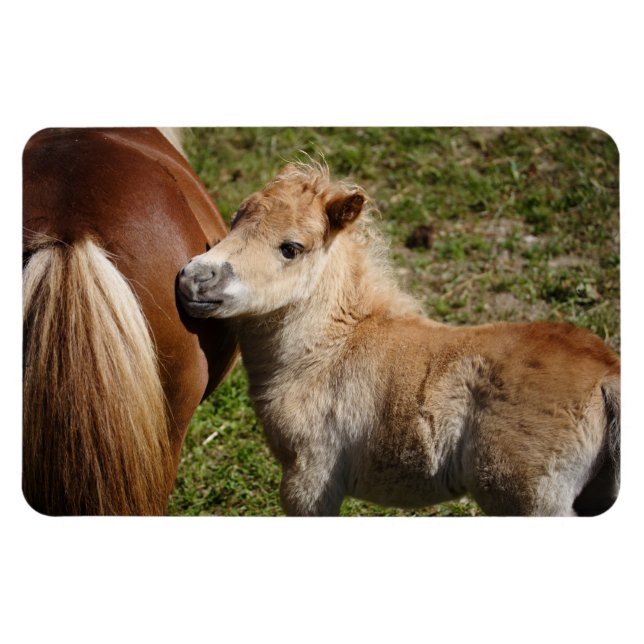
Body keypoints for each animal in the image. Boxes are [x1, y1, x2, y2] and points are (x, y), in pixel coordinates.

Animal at [177, 161, 620, 517]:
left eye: (291, 248)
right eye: (235, 220)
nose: (193, 278)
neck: (327, 353)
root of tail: (606, 377)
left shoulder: (310, 477)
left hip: (531, 500)